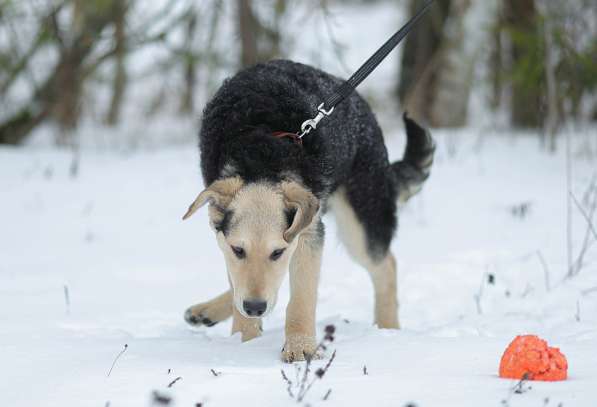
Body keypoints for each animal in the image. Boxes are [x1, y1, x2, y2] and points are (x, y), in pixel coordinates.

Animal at [182, 59, 434, 362]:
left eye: (277, 252)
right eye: (238, 250)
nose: (255, 307)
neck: (260, 155)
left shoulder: (307, 233)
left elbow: (301, 297)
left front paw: (300, 346)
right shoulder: (228, 246)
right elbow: (238, 285)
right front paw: (244, 340)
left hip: (358, 224)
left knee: (386, 265)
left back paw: (387, 329)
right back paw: (206, 311)